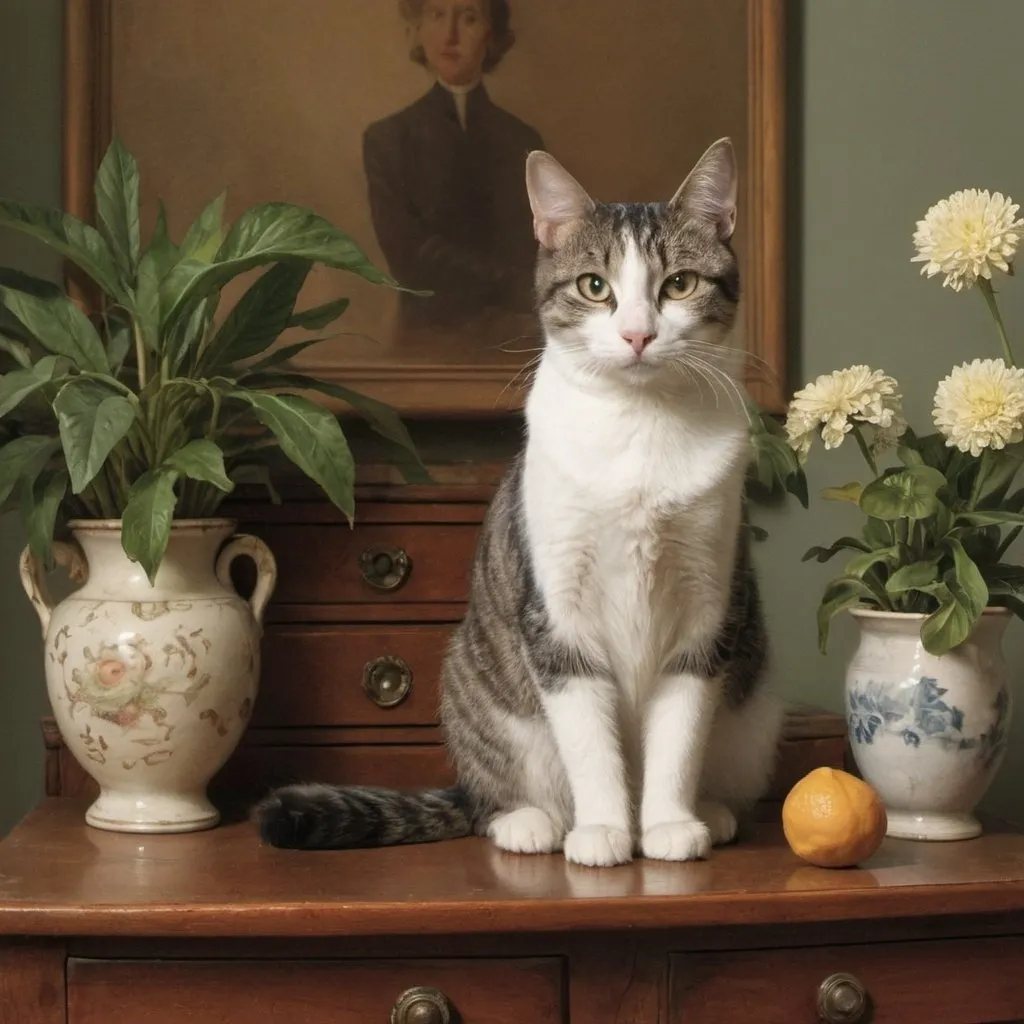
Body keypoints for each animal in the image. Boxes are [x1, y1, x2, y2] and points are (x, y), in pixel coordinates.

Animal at [258, 140, 782, 868]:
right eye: (595, 286)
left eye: (678, 285)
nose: (637, 335)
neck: (639, 429)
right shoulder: (557, 614)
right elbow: (589, 742)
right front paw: (604, 829)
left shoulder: (708, 607)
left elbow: (679, 731)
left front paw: (668, 824)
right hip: (478, 689)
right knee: (495, 795)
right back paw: (530, 822)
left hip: (755, 710)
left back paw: (710, 812)